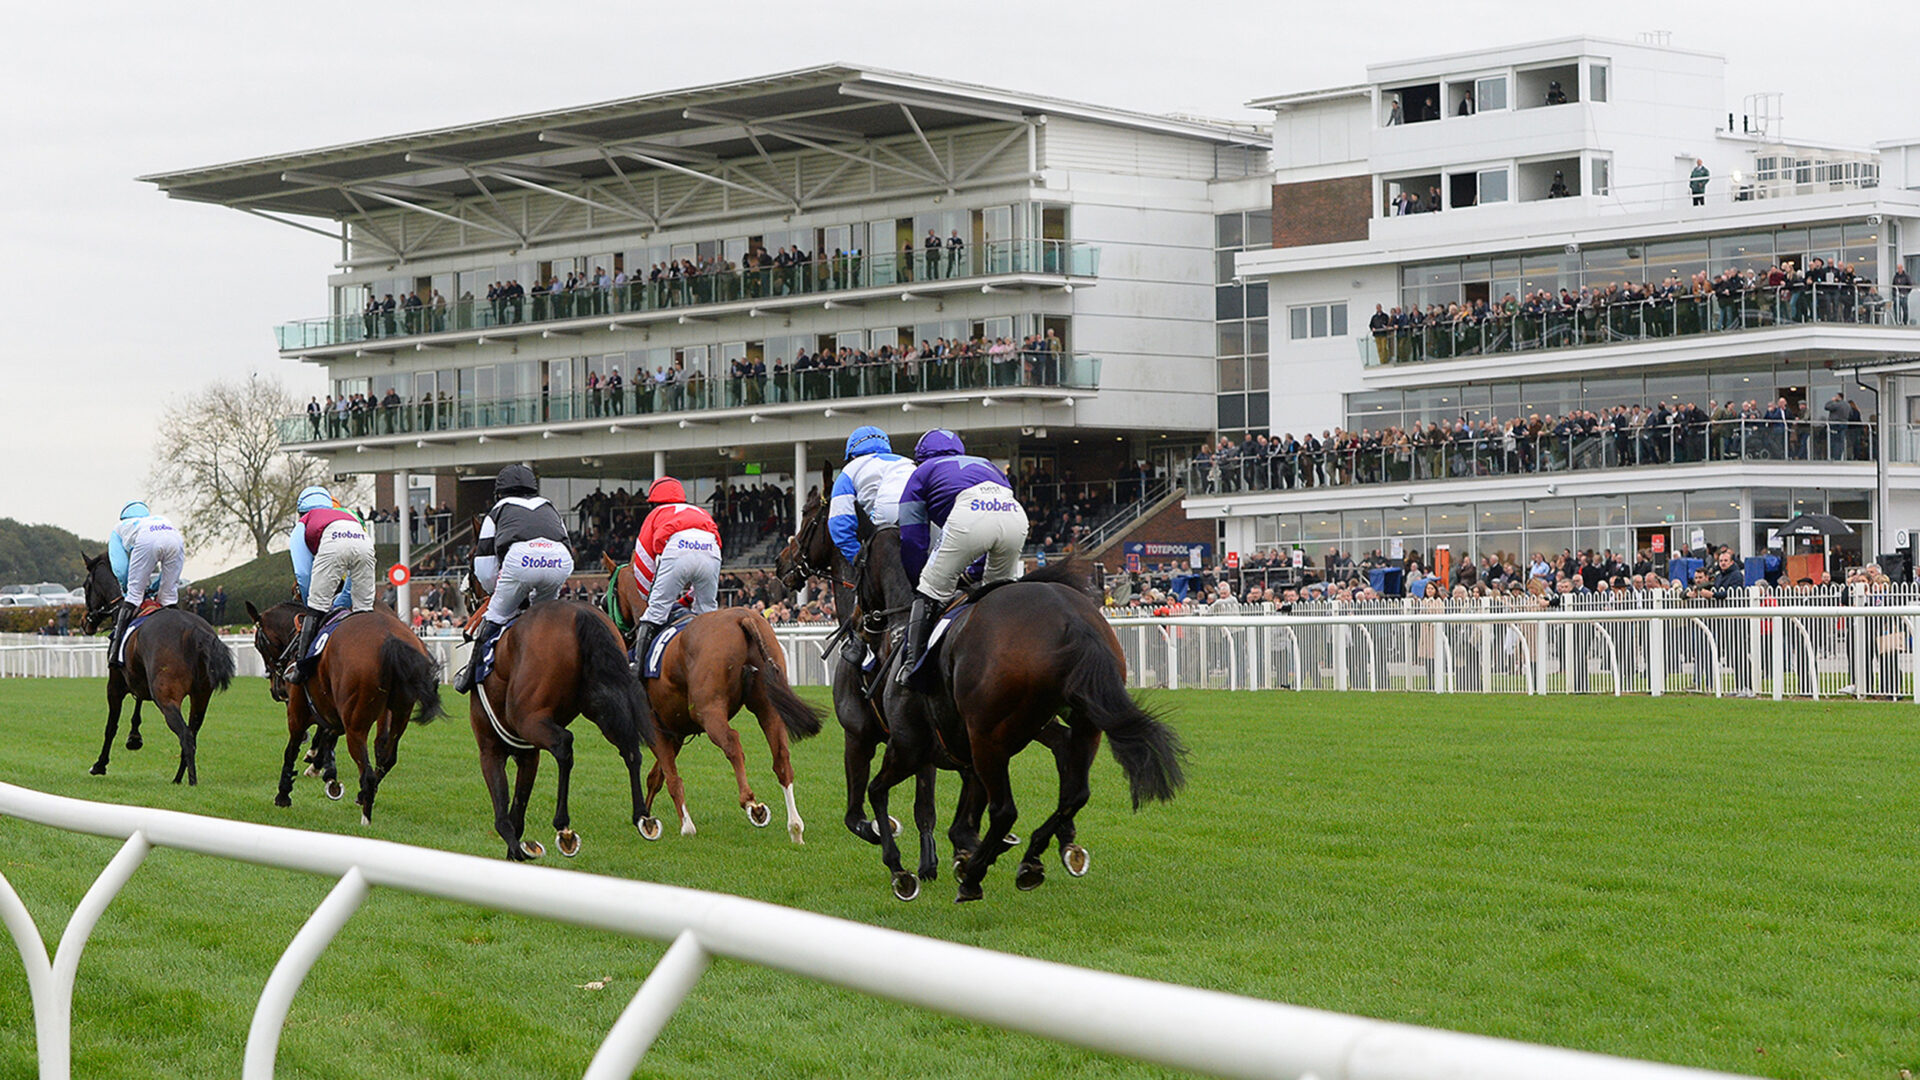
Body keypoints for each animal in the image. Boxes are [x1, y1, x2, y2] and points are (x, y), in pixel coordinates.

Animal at [80, 549, 232, 776]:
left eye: (85, 586)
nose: (84, 622)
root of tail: (194, 630)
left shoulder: (115, 684)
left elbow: (111, 726)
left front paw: (100, 764)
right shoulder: (140, 679)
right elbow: (138, 703)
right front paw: (134, 737)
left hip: (166, 696)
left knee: (185, 736)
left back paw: (190, 780)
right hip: (201, 697)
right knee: (192, 734)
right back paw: (178, 778)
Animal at [243, 599, 441, 818]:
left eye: (258, 644)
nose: (276, 690)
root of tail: (390, 637)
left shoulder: (298, 711)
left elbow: (291, 749)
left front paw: (284, 794)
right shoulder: (333, 714)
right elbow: (327, 736)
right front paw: (326, 768)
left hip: (356, 724)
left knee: (366, 770)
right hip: (399, 713)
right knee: (386, 755)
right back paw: (363, 795)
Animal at [460, 576, 656, 860]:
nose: (465, 595)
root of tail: (581, 612)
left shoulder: (490, 749)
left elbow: (503, 817)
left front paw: (519, 850)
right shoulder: (529, 754)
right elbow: (517, 814)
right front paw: (518, 852)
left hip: (529, 719)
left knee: (564, 743)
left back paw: (564, 828)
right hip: (603, 704)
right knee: (628, 745)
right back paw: (642, 816)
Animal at [602, 553, 821, 841]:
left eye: (606, 598)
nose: (614, 631)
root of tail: (743, 618)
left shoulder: (657, 727)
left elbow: (671, 777)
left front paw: (684, 825)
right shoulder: (674, 731)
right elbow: (657, 776)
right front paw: (644, 817)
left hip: (708, 710)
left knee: (732, 742)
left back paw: (752, 803)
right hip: (767, 707)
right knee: (782, 758)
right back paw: (795, 827)